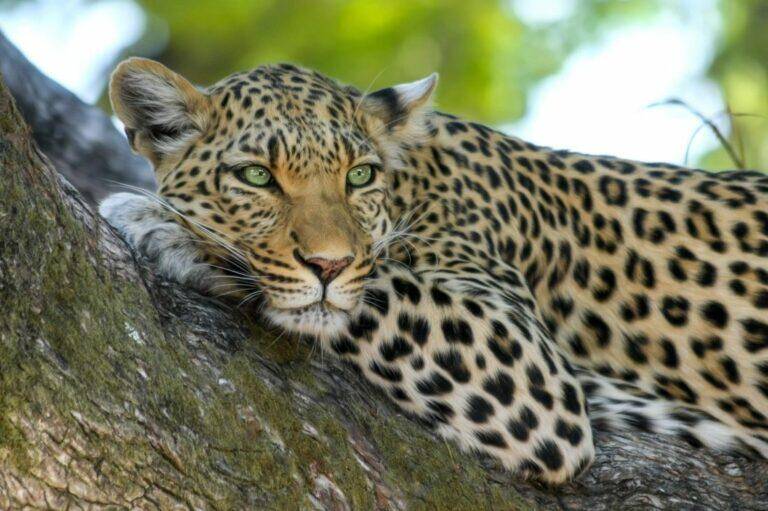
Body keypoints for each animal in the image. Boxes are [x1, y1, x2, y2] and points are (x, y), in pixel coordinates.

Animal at [100, 57, 768, 484]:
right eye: (257, 176)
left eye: (359, 176)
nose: (328, 263)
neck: (414, 183)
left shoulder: (529, 368)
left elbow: (377, 288)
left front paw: (165, 224)